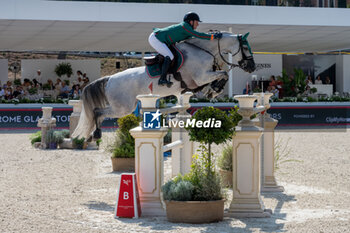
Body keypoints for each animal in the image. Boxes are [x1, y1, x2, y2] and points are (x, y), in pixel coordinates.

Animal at [72, 31, 256, 140]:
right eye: (246, 47)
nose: (252, 67)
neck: (203, 50)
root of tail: (109, 78)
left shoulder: (199, 80)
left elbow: (218, 78)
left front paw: (212, 91)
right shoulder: (201, 76)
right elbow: (224, 74)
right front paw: (215, 89)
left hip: (124, 106)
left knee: (99, 114)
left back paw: (92, 135)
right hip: (123, 107)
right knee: (98, 112)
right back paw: (96, 134)